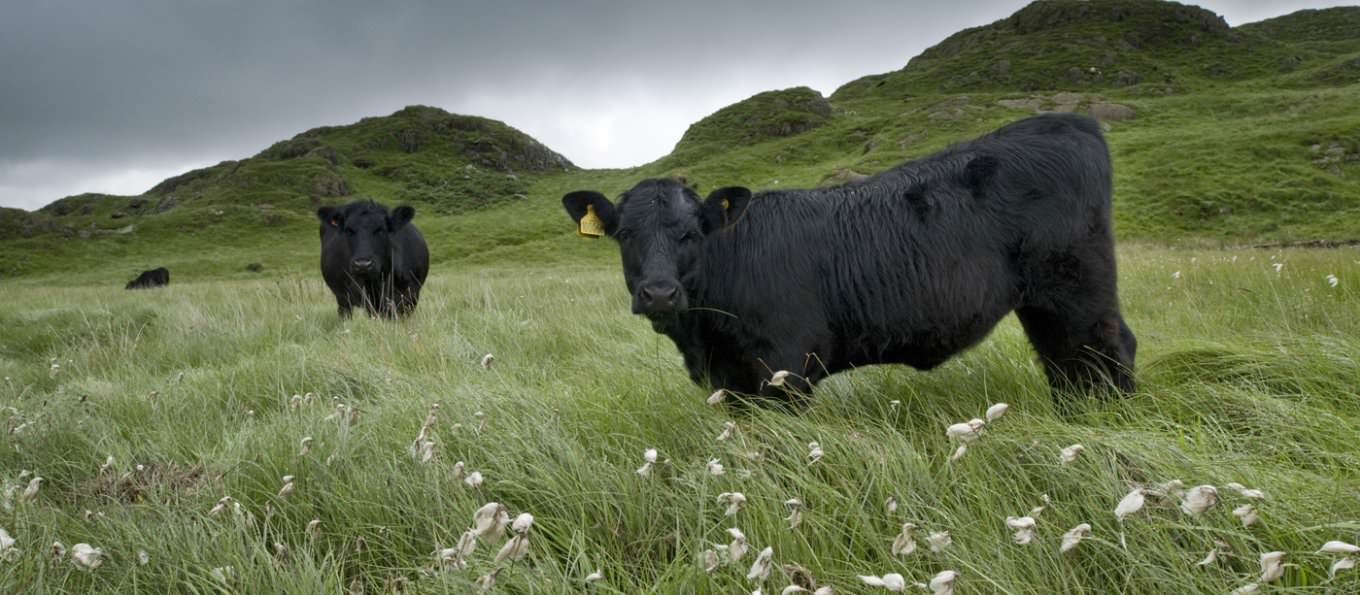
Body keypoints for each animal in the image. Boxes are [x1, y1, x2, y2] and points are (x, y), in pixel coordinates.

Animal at [562, 113, 1136, 406]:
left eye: (691, 233)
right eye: (625, 234)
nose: (659, 293)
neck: (704, 335)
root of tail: (1066, 120)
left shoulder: (783, 365)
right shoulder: (732, 379)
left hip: (1078, 286)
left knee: (1107, 348)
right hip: (1043, 303)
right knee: (1065, 360)